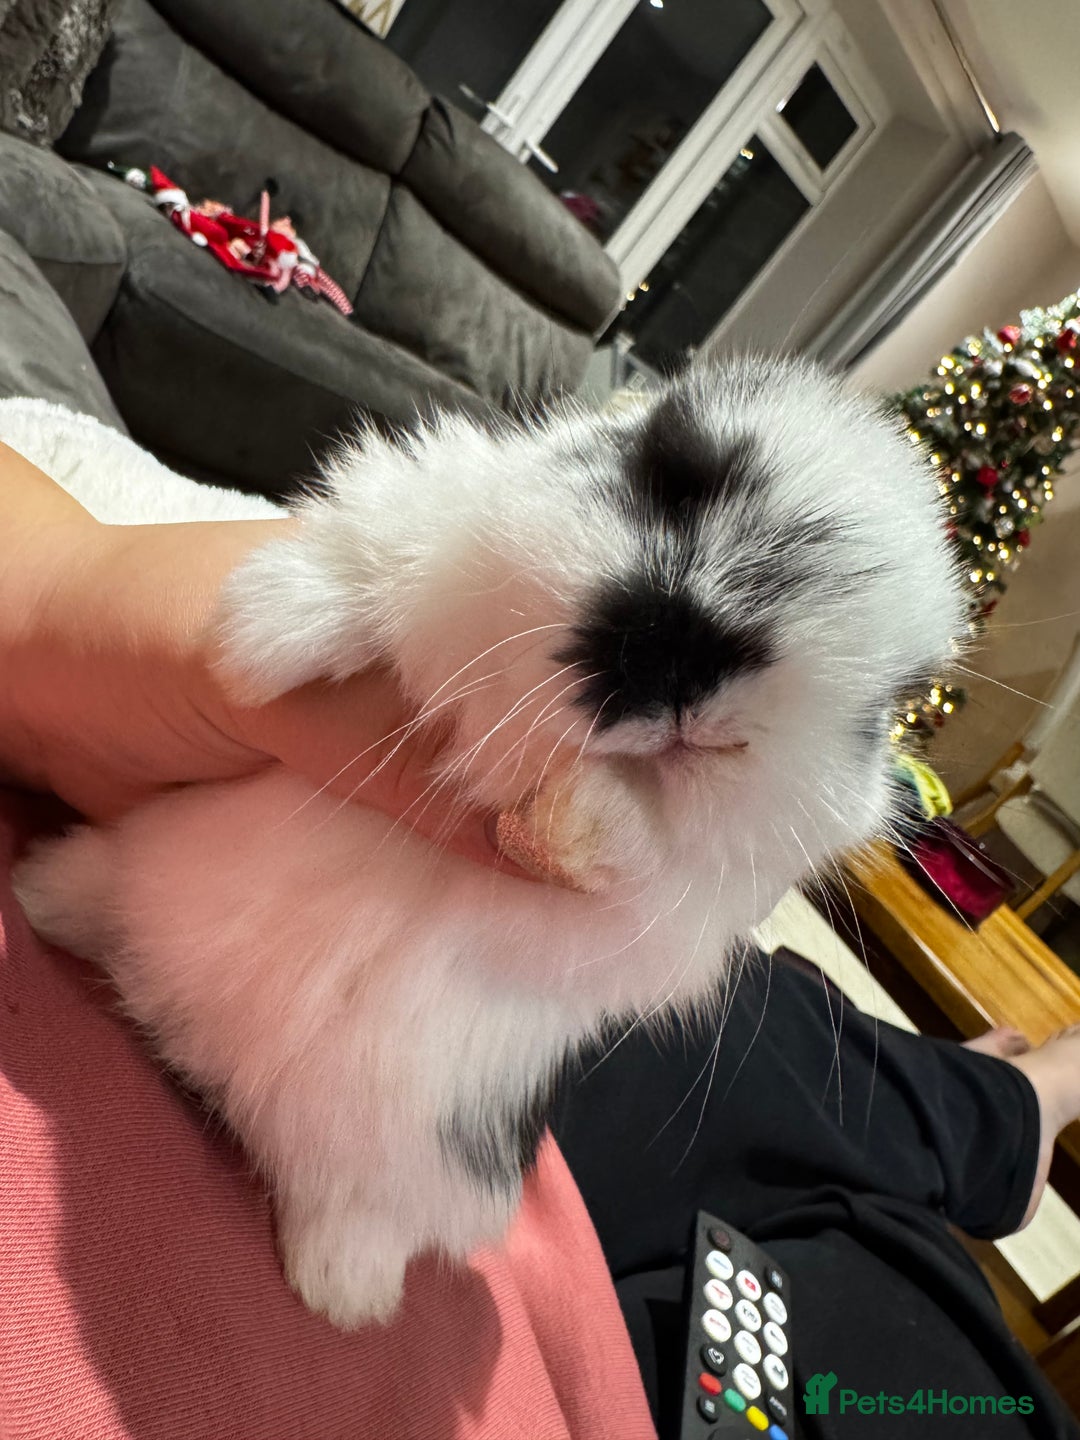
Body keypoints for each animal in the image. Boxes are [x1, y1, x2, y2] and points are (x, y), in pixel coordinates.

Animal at [13, 356, 965, 1329]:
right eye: (671, 473)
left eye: (884, 705)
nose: (693, 676)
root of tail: (191, 1045)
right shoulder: (431, 500)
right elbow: (373, 553)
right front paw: (260, 635)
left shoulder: (663, 918)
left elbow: (634, 851)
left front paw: (583, 818)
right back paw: (42, 898)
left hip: (427, 1159)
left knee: (352, 1209)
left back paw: (344, 1295)